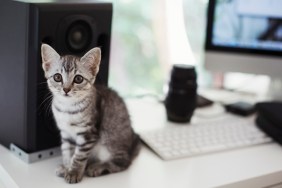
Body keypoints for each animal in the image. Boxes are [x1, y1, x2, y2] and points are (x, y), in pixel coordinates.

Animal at [40, 43, 140, 183]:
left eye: (78, 79)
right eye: (57, 77)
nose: (66, 89)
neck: (67, 108)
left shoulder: (88, 134)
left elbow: (79, 156)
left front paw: (74, 172)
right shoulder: (66, 133)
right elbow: (67, 152)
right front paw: (66, 167)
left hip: (111, 140)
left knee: (123, 162)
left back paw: (98, 167)